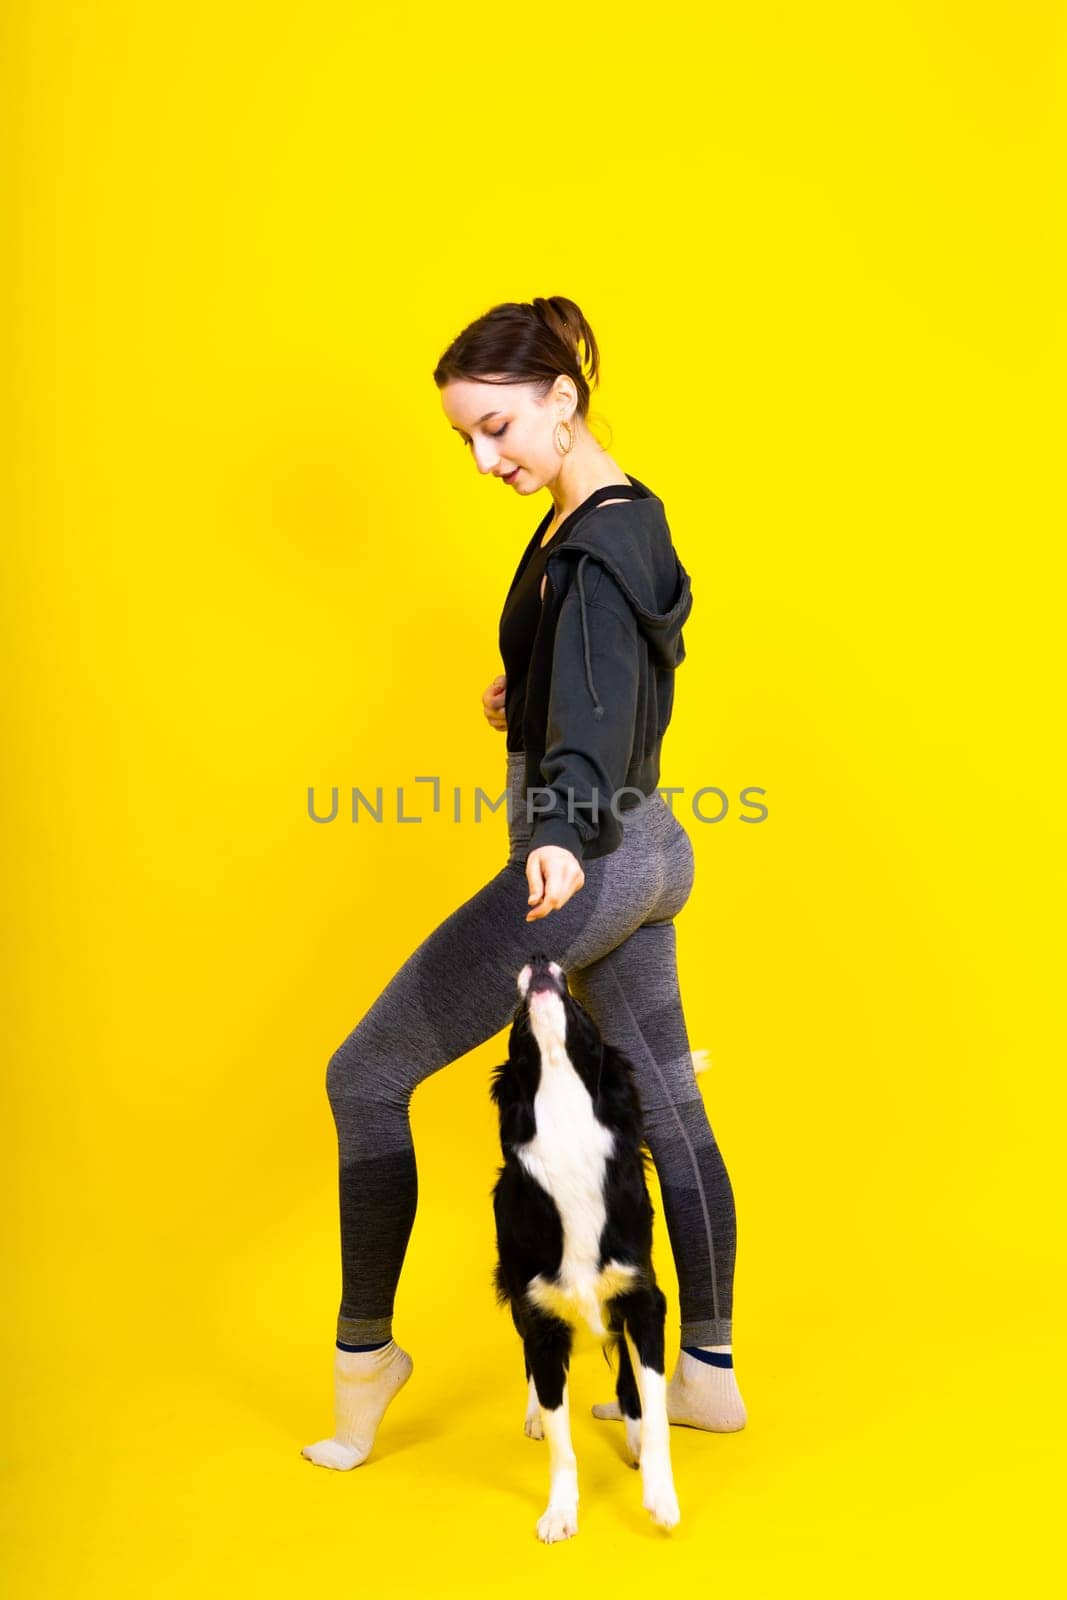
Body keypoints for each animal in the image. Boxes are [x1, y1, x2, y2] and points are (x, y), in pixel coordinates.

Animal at [489, 947, 681, 1536]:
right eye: (516, 1026)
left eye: (579, 1007)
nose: (536, 956)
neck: (566, 1125)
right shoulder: (542, 1319)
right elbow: (561, 1443)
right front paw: (560, 1512)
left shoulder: (644, 1301)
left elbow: (653, 1406)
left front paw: (661, 1497)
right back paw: (532, 1413)